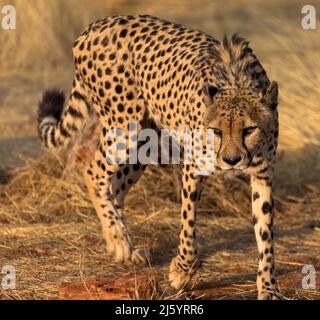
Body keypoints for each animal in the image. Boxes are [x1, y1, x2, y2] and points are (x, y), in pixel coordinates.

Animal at [36, 15, 278, 300]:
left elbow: (265, 235)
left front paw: (269, 287)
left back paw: (122, 245)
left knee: (115, 186)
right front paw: (182, 272)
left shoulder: (262, 175)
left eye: (249, 129)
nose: (231, 161)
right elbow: (188, 224)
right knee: (93, 172)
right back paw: (119, 239)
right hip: (124, 128)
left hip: (144, 141)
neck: (236, 81)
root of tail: (94, 26)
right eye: (216, 131)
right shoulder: (193, 167)